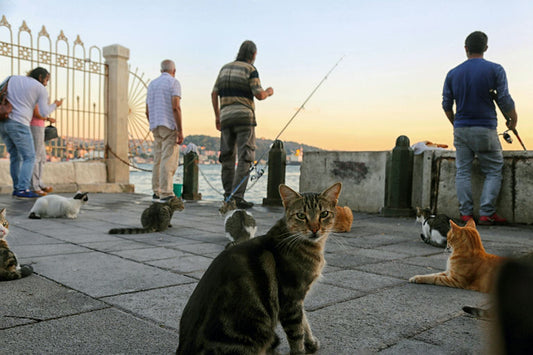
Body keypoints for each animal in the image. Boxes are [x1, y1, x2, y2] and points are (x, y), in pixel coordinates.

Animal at [176, 184, 340, 355]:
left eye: (324, 214)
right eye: (301, 215)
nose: (315, 229)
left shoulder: (297, 299)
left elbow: (304, 322)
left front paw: (311, 342)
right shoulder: (291, 298)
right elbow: (297, 332)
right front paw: (300, 350)